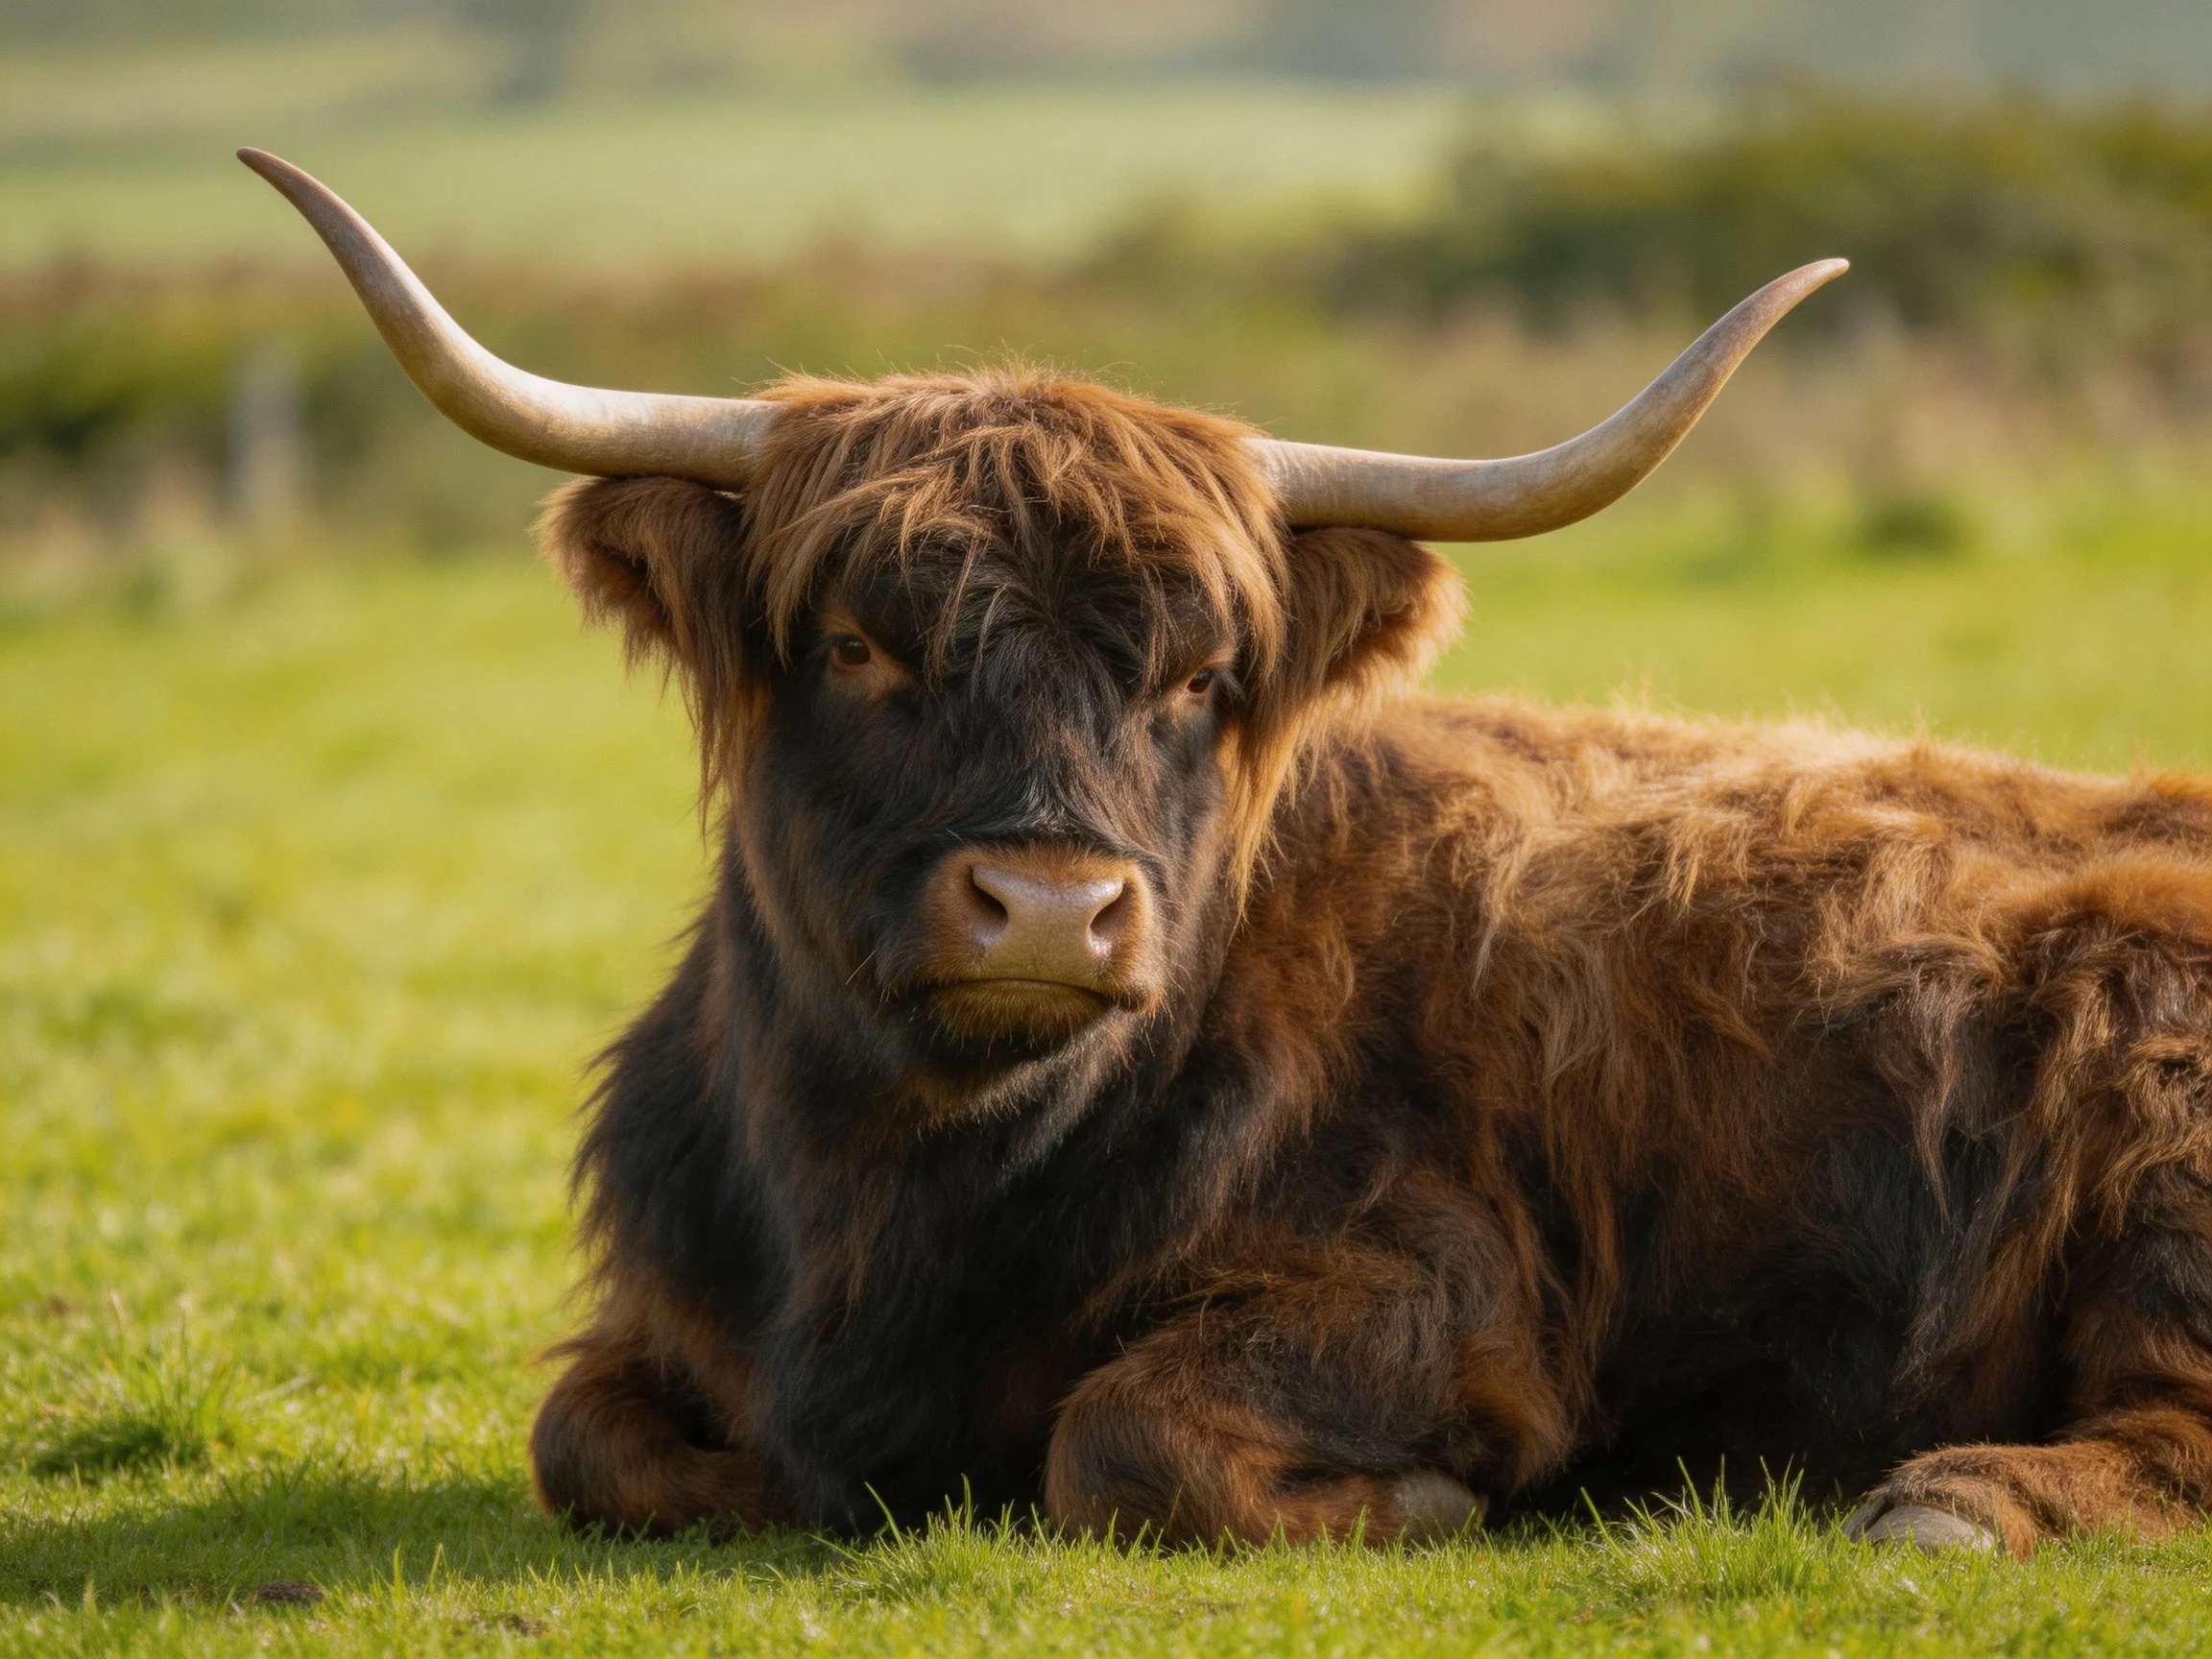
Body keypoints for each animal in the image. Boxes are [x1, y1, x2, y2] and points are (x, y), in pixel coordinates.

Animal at [245, 148, 2212, 1558]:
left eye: (1199, 677)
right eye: (861, 644)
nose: (1051, 907)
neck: (890, 1197)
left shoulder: (1440, 1296)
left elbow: (1120, 1435)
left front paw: (1423, 1500)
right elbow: (578, 1438)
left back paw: (1957, 1501)